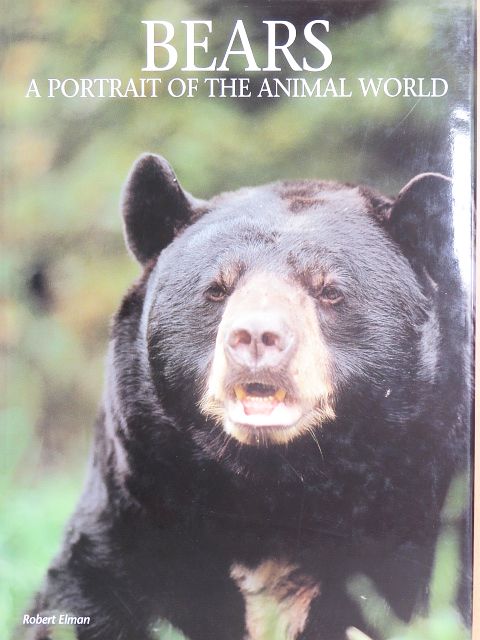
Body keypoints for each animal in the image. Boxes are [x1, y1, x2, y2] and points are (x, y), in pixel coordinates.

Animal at [25, 154, 470, 640]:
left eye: (329, 290)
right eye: (217, 289)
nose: (257, 336)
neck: (271, 484)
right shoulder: (136, 502)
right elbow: (86, 594)